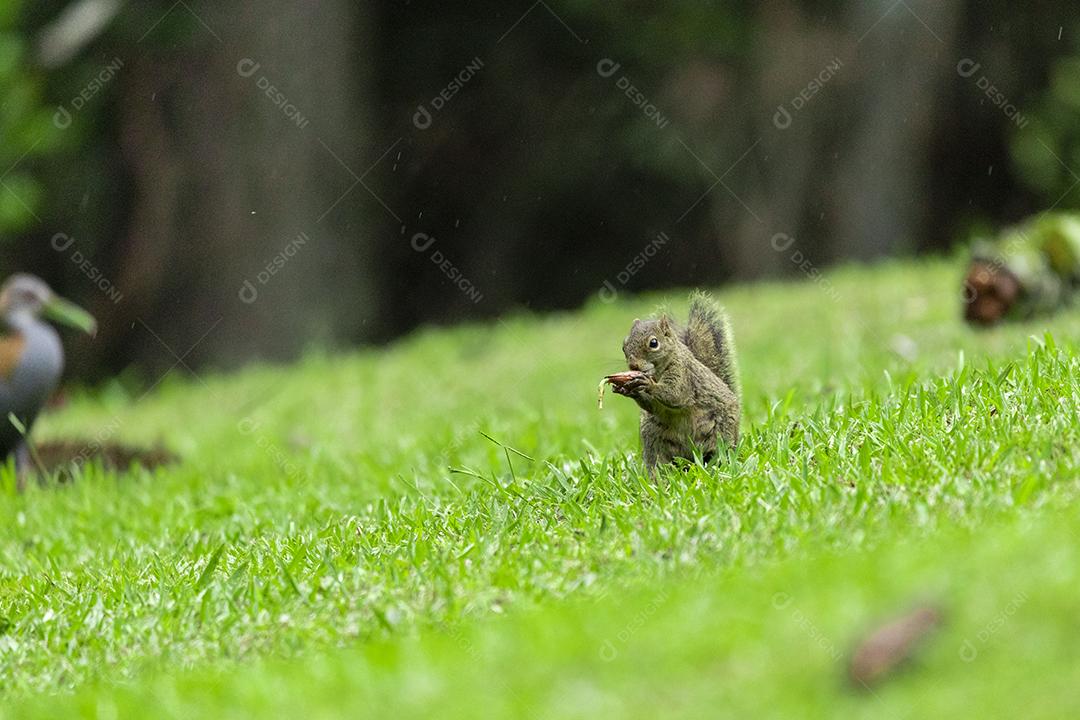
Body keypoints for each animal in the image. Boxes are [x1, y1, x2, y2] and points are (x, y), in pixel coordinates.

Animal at [613, 293, 738, 472]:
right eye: (623, 346)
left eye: (653, 343)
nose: (633, 366)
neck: (657, 373)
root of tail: (690, 456)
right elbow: (652, 406)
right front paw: (628, 390)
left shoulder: (683, 374)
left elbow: (675, 395)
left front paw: (648, 385)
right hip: (654, 438)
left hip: (721, 434)